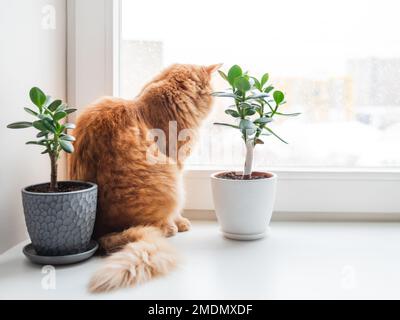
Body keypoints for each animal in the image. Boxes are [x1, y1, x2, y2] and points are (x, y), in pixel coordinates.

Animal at [69, 62, 219, 292]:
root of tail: (99, 234)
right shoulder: (177, 163)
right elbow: (177, 213)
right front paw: (180, 222)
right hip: (171, 180)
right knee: (157, 225)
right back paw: (170, 227)